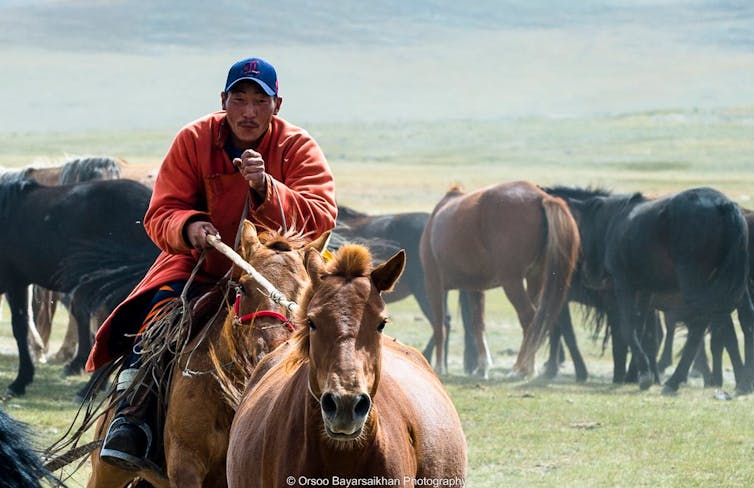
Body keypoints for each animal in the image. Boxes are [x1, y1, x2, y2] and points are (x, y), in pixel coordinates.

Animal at [420, 180, 580, 378]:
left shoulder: (433, 284)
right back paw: (528, 367)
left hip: (512, 282)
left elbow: (439, 324)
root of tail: (541, 197)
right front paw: (482, 367)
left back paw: (521, 368)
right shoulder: (475, 288)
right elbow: (478, 323)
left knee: (528, 317)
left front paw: (439, 368)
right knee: (536, 322)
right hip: (534, 279)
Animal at [548, 185, 752, 394]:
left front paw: (641, 375)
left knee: (700, 325)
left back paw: (675, 380)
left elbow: (627, 328)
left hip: (696, 284)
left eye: (578, 232)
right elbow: (641, 328)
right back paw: (742, 382)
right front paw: (636, 373)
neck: (614, 220)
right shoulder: (645, 289)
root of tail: (725, 206)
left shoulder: (623, 285)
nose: (588, 276)